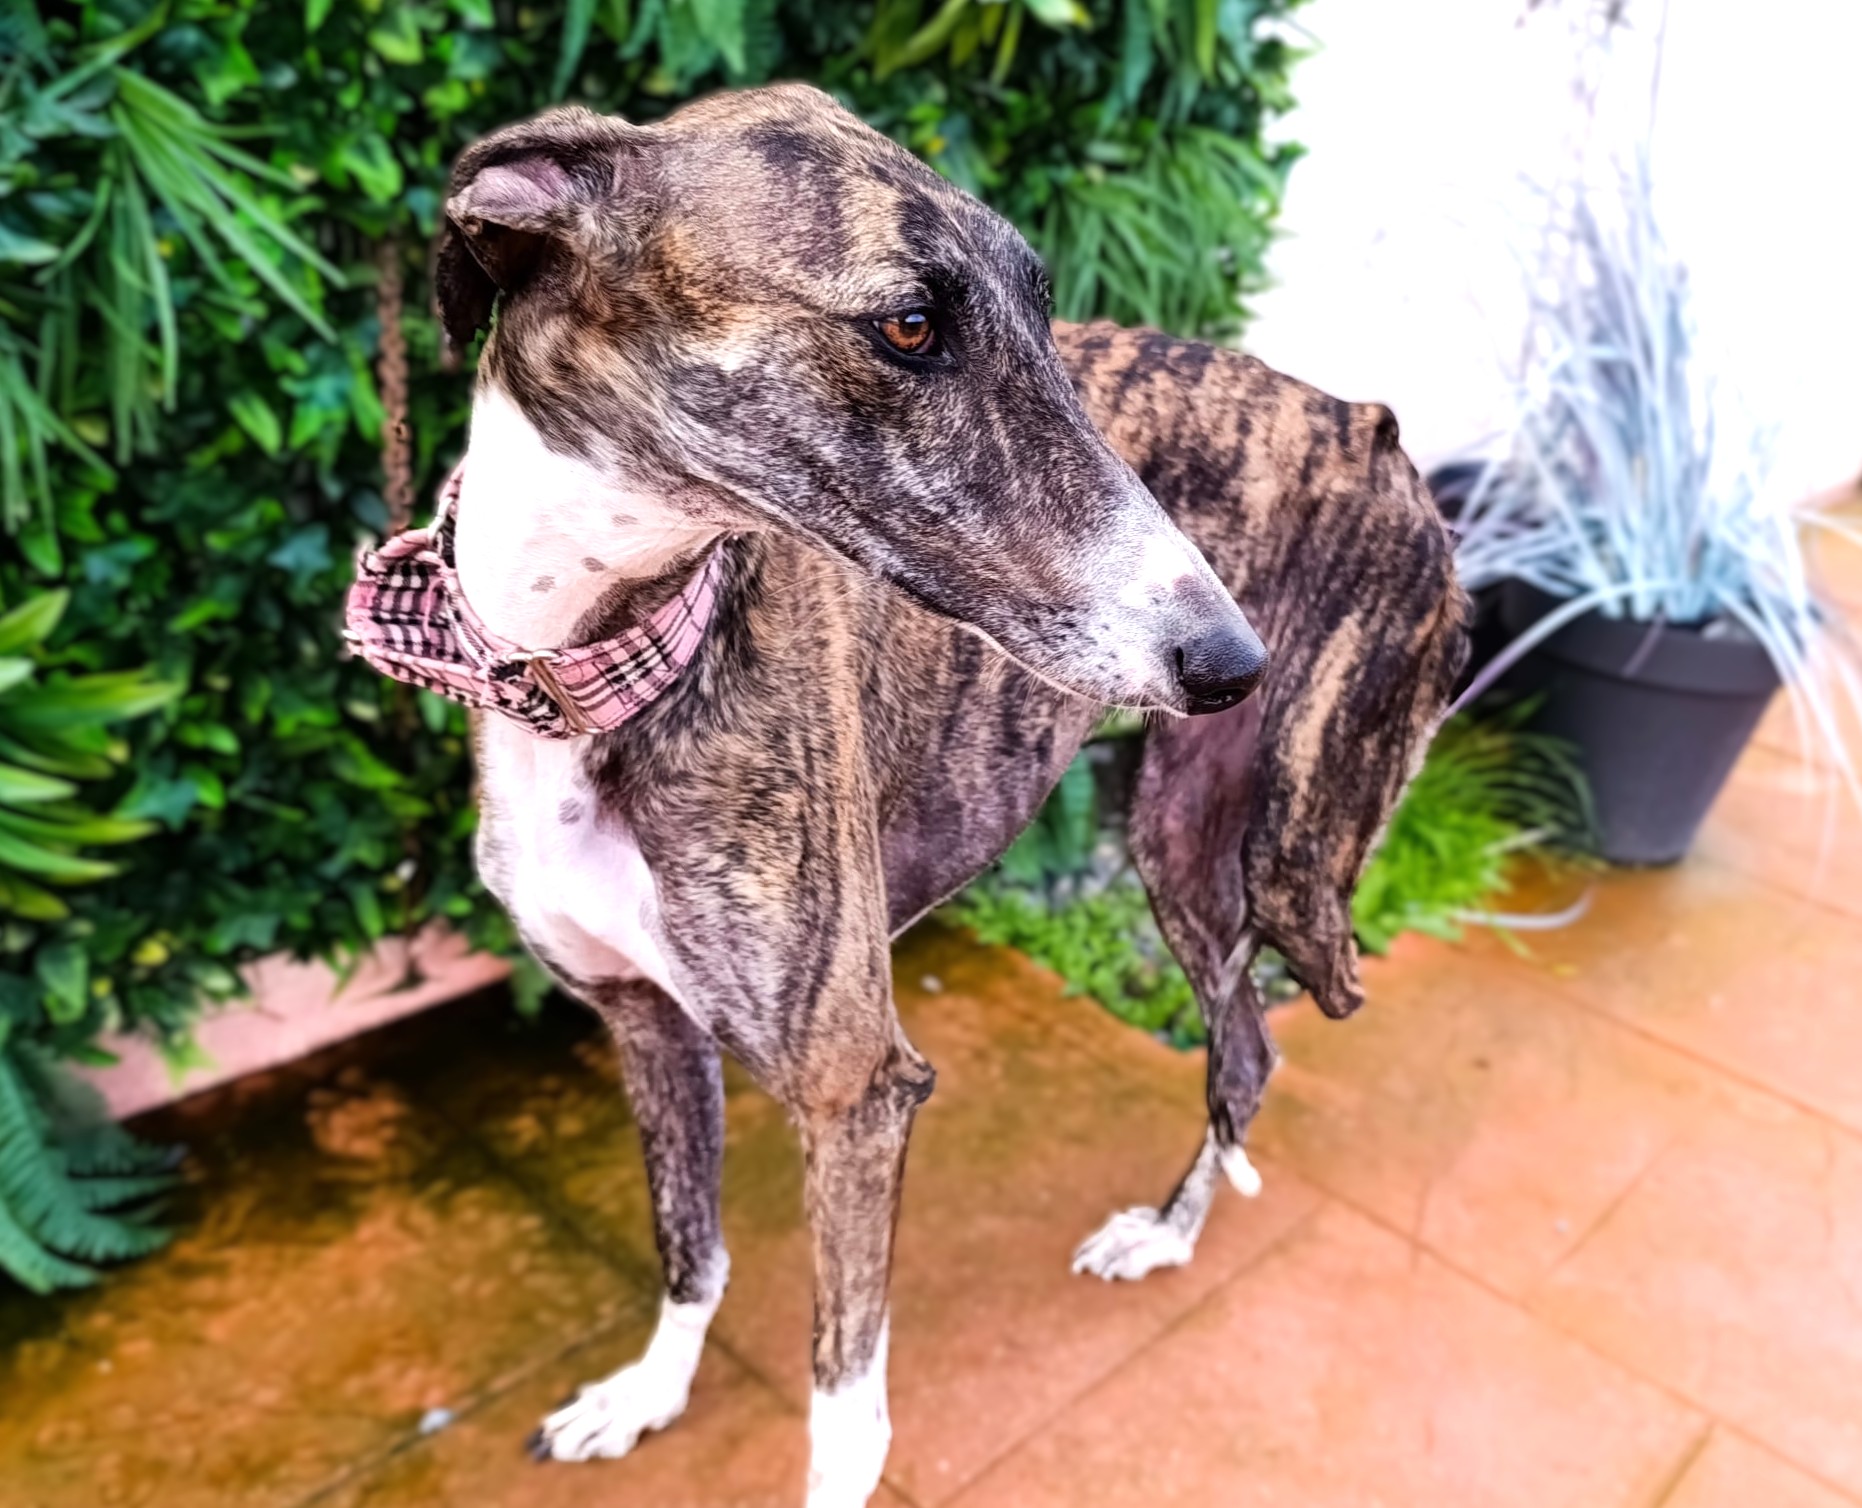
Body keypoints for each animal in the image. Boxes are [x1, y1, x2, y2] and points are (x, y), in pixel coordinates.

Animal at [410, 83, 1466, 1507]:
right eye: (910, 324)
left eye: (1040, 303)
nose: (1226, 659)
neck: (593, 661)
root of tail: (1368, 418)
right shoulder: (644, 1022)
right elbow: (688, 1243)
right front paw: (646, 1393)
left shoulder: (855, 1090)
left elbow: (842, 1411)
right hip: (1181, 838)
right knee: (1245, 1039)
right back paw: (1164, 1231)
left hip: (1292, 839)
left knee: (1278, 1021)